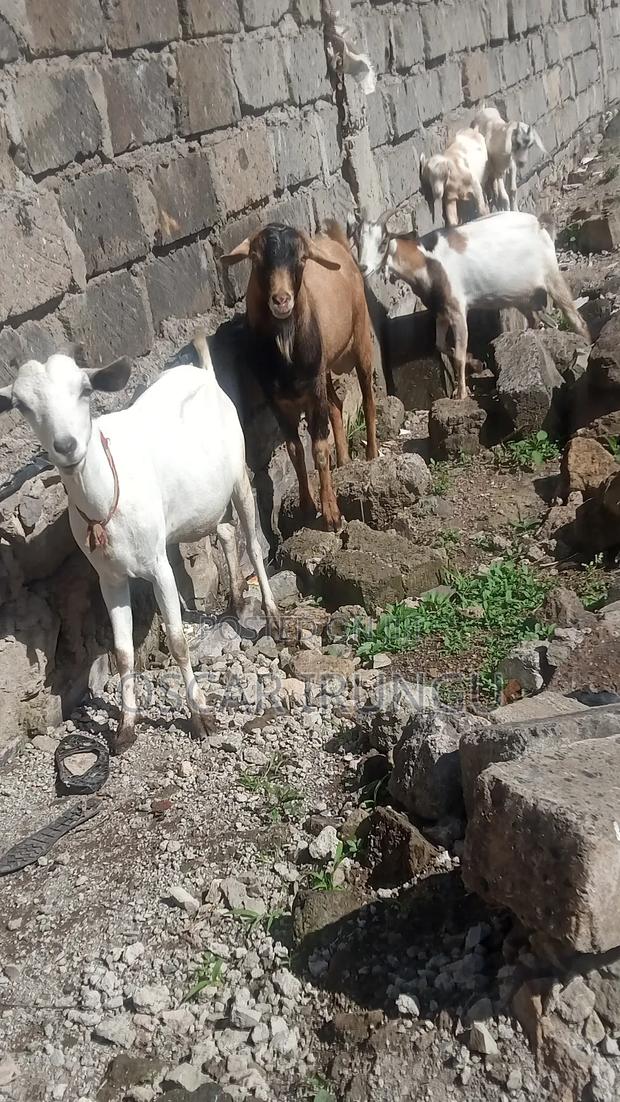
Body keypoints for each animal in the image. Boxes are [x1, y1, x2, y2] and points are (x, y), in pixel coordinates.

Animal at [0, 336, 279, 755]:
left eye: (85, 390)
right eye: (21, 405)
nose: (66, 445)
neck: (105, 502)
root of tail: (205, 373)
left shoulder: (158, 567)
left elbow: (178, 641)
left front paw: (201, 716)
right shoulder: (108, 577)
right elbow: (122, 652)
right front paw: (126, 727)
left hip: (239, 472)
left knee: (251, 535)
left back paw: (272, 614)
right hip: (196, 506)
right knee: (226, 531)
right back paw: (234, 597)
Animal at [221, 222, 378, 531]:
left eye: (302, 259)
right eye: (255, 258)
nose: (281, 300)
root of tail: (337, 242)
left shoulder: (312, 393)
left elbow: (319, 449)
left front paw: (332, 515)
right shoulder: (279, 401)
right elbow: (295, 450)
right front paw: (306, 507)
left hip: (361, 336)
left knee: (367, 397)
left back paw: (372, 455)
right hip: (323, 370)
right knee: (336, 405)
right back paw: (344, 460)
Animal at [349, 210, 589, 402]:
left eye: (383, 242)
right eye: (358, 244)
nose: (363, 268)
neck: (426, 261)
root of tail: (539, 223)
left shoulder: (457, 309)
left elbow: (458, 352)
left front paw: (461, 393)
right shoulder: (441, 311)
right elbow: (440, 345)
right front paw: (476, 363)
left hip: (551, 277)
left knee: (576, 320)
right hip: (523, 296)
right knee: (537, 320)